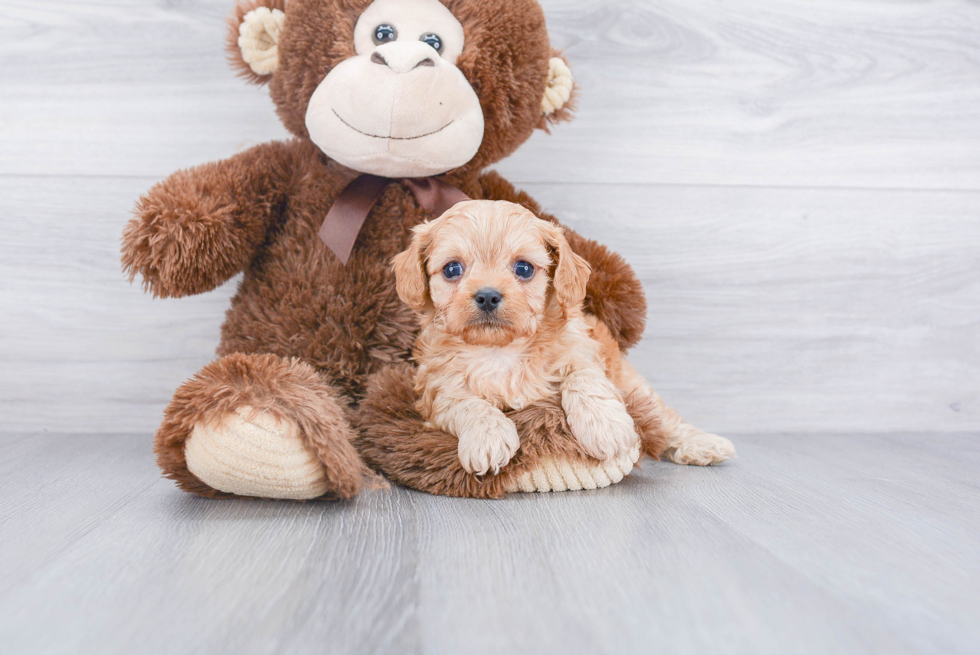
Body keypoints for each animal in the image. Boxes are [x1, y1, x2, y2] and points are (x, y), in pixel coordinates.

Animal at [390, 200, 736, 476]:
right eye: (452, 269)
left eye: (524, 268)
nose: (488, 296)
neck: (500, 351)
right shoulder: (437, 391)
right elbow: (468, 403)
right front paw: (487, 439)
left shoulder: (582, 350)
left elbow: (583, 378)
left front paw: (605, 427)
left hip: (634, 386)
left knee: (665, 420)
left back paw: (704, 444)